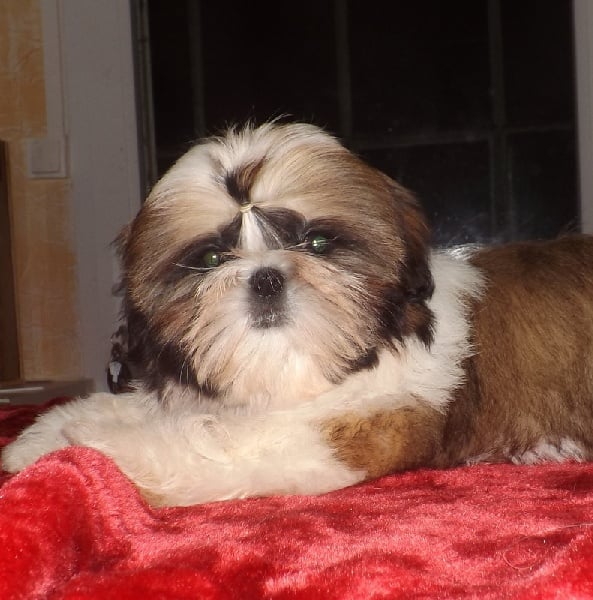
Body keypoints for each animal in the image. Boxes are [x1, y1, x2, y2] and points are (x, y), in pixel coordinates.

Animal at [3, 122, 593, 506]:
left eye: (317, 243)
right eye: (212, 259)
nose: (266, 277)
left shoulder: (358, 428)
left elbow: (213, 445)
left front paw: (91, 441)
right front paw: (37, 440)